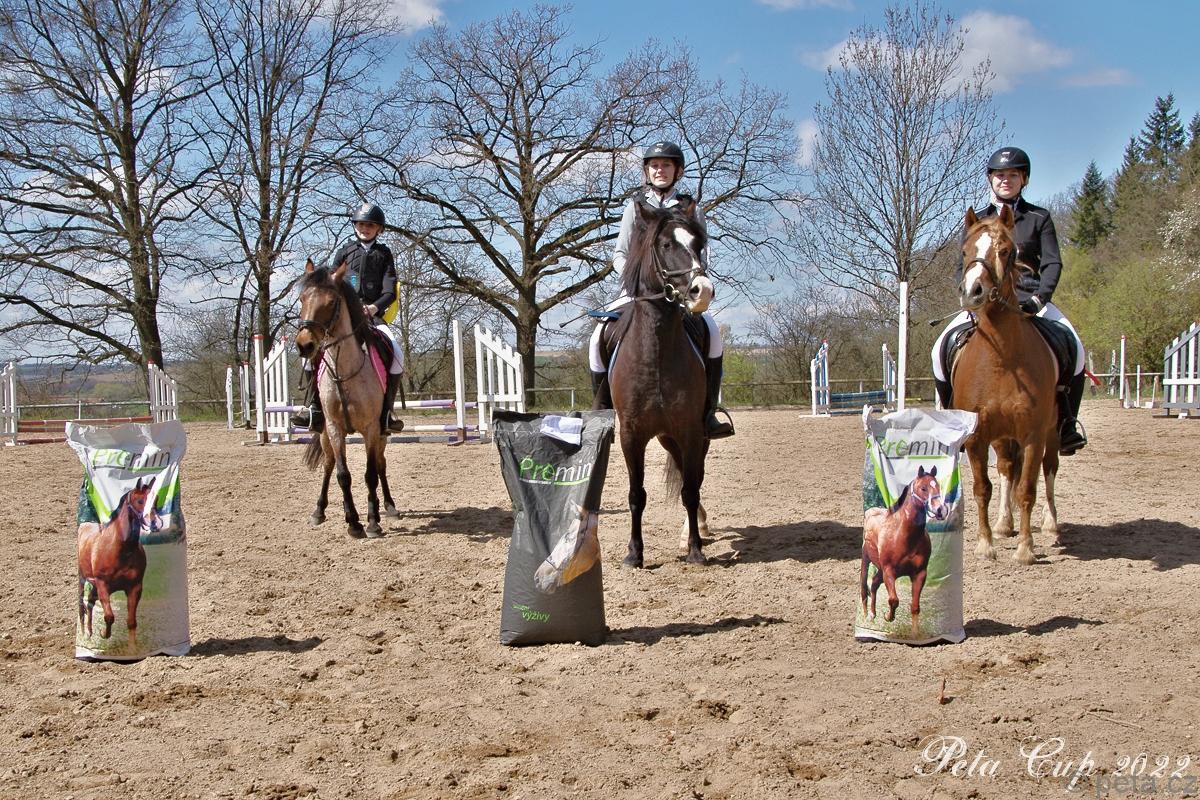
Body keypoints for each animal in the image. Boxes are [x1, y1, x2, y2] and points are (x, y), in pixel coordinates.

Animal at [77, 477, 155, 642]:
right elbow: (109, 616)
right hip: (83, 579)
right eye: (140, 501)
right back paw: (84, 633)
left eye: (156, 498)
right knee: (82, 607)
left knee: (90, 602)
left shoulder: (135, 587)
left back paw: (90, 632)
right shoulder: (102, 585)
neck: (121, 550)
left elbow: (131, 622)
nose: (154, 521)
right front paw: (104, 633)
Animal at [295, 259, 398, 538]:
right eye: (302, 298)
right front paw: (353, 522)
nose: (304, 345)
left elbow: (370, 474)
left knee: (381, 465)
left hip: (382, 434)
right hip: (323, 433)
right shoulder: (334, 428)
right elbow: (343, 475)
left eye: (331, 302)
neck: (344, 373)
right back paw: (320, 511)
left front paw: (372, 522)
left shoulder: (371, 429)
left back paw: (389, 506)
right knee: (329, 465)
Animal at [601, 196, 715, 567]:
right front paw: (634, 553)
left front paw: (694, 548)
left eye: (698, 245)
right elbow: (636, 495)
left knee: (693, 478)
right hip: (666, 437)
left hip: (691, 435)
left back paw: (696, 529)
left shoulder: (691, 430)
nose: (702, 291)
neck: (656, 352)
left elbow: (690, 490)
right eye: (666, 245)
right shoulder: (631, 435)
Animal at [860, 466, 947, 637]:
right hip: (866, 561)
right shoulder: (889, 571)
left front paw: (915, 634)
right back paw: (867, 616)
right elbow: (893, 600)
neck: (904, 536)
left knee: (874, 584)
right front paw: (888, 616)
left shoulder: (919, 573)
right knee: (864, 590)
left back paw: (873, 615)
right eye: (923, 488)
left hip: (880, 569)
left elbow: (915, 607)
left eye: (938, 486)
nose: (940, 509)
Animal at [952, 206, 1060, 565]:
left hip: (1052, 432)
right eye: (965, 252)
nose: (973, 292)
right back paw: (1003, 524)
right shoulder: (977, 437)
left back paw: (1051, 524)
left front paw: (1026, 548)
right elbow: (982, 488)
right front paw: (986, 543)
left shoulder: (1033, 435)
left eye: (1005, 251)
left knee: (1049, 469)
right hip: (1000, 436)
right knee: (1006, 469)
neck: (1001, 359)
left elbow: (1027, 489)